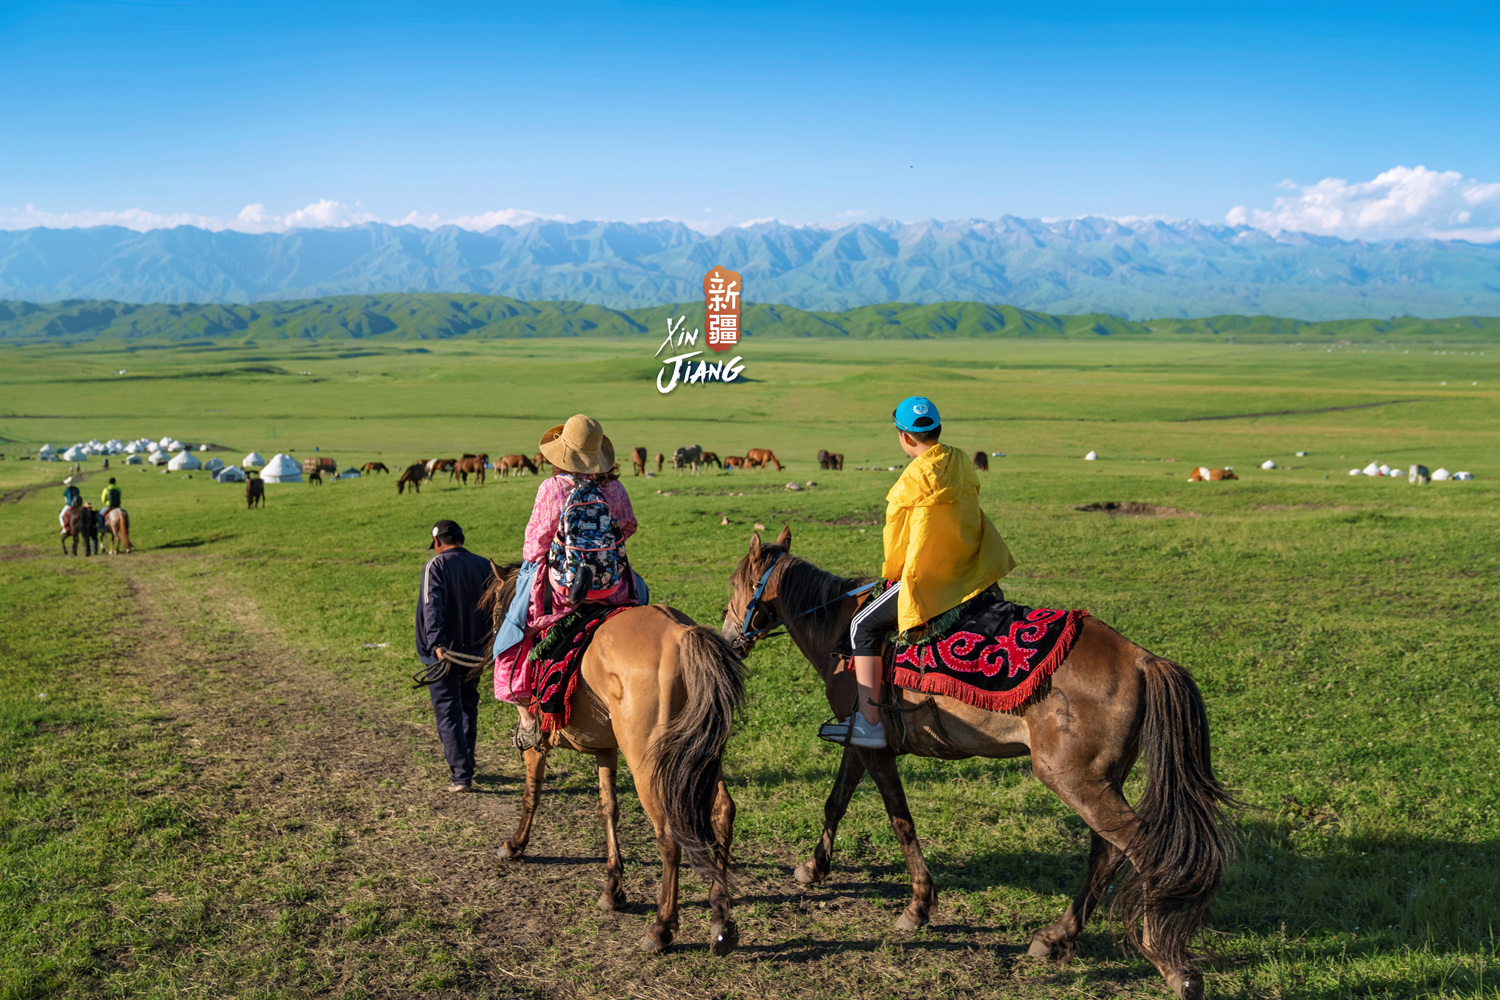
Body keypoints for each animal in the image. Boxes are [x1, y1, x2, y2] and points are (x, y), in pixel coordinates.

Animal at [483, 566, 747, 959]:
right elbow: (608, 810)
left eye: (497, 613)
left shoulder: (537, 747)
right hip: (705, 755)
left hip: (648, 766)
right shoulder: (606, 751)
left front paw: (515, 844)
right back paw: (722, 922)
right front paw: (613, 890)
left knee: (668, 836)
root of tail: (681, 634)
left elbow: (531, 795)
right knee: (722, 812)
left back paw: (661, 929)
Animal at [723, 527, 1230, 995]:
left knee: (1144, 849)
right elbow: (836, 802)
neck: (839, 630)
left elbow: (900, 821)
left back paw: (1171, 963)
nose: (729, 638)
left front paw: (918, 907)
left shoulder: (877, 749)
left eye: (734, 583)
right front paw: (814, 868)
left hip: (1073, 780)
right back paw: (1057, 938)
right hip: (1100, 780)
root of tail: (1143, 660)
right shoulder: (859, 743)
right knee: (1107, 852)